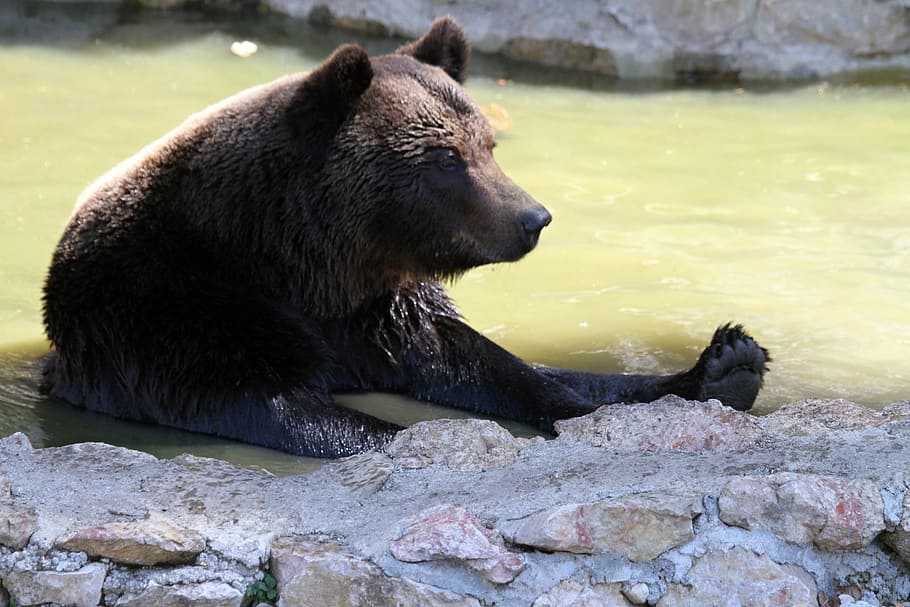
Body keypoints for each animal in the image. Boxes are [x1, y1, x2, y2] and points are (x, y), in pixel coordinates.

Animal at [41, 18, 769, 458]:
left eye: (488, 143)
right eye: (445, 157)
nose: (532, 218)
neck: (299, 260)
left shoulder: (382, 308)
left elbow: (489, 363)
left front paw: (725, 362)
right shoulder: (175, 314)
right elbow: (278, 405)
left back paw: (725, 367)